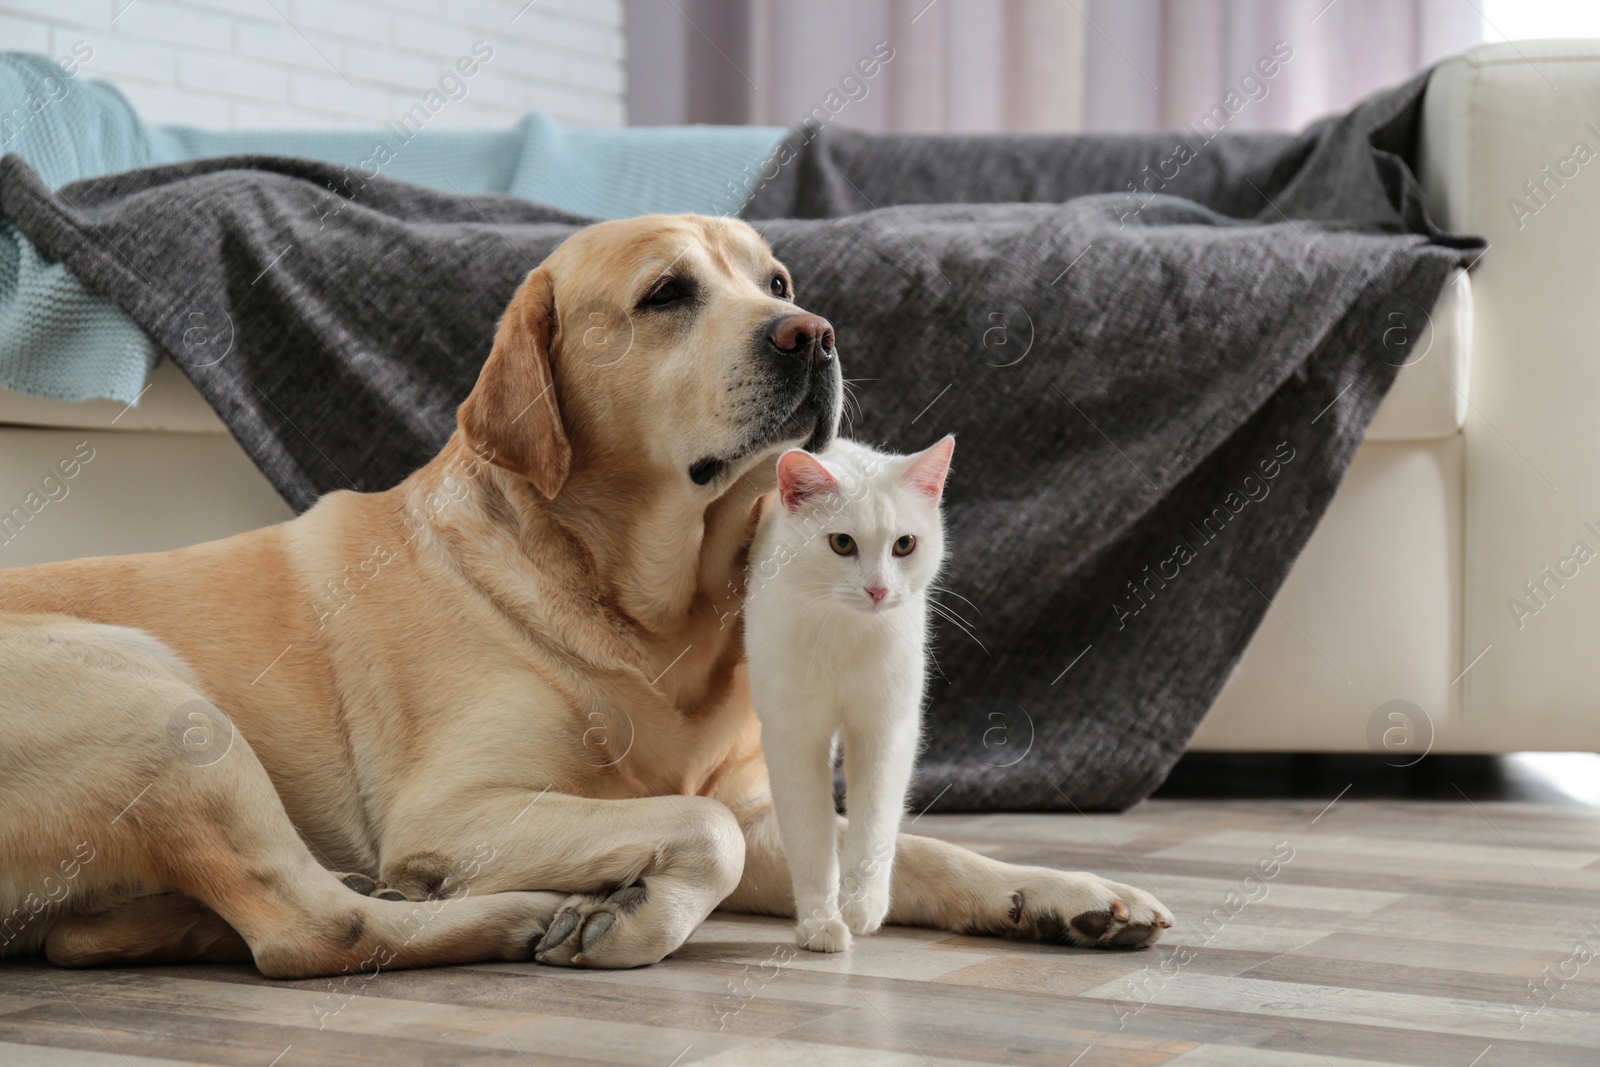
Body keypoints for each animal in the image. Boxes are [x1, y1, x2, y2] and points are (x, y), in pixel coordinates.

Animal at [745, 435, 953, 953]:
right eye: (842, 543)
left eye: (904, 544)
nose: (877, 590)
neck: (844, 630)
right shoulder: (793, 736)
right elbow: (809, 837)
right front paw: (820, 923)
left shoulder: (887, 728)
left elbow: (875, 821)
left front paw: (862, 905)